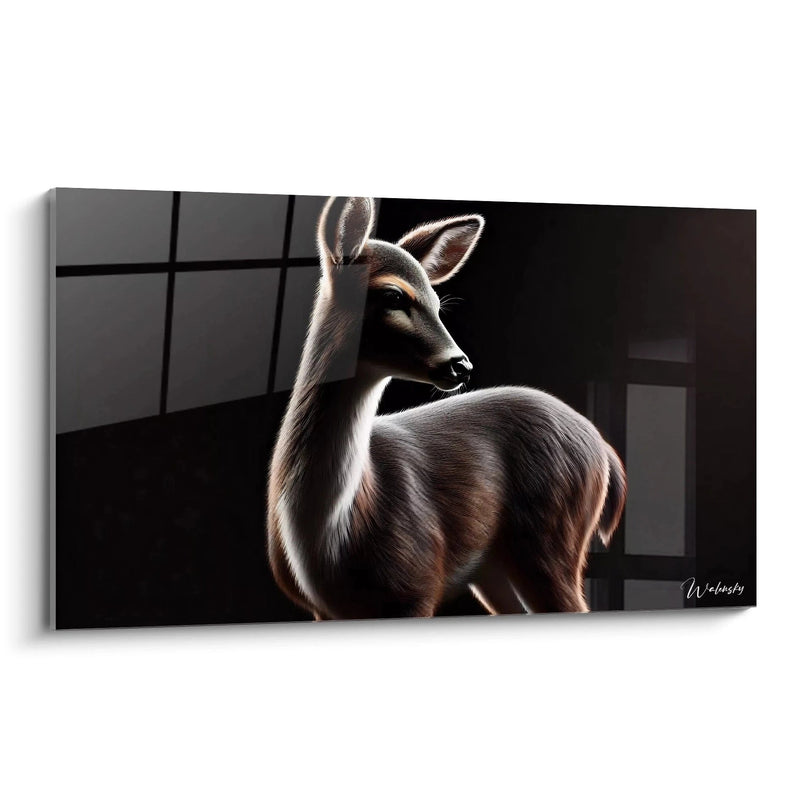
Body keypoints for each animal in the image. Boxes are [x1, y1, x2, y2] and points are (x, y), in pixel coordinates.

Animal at [267, 197, 626, 620]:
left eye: (438, 303)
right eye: (394, 296)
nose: (460, 365)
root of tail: (603, 448)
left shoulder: (415, 584)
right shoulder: (322, 610)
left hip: (552, 536)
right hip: (495, 568)